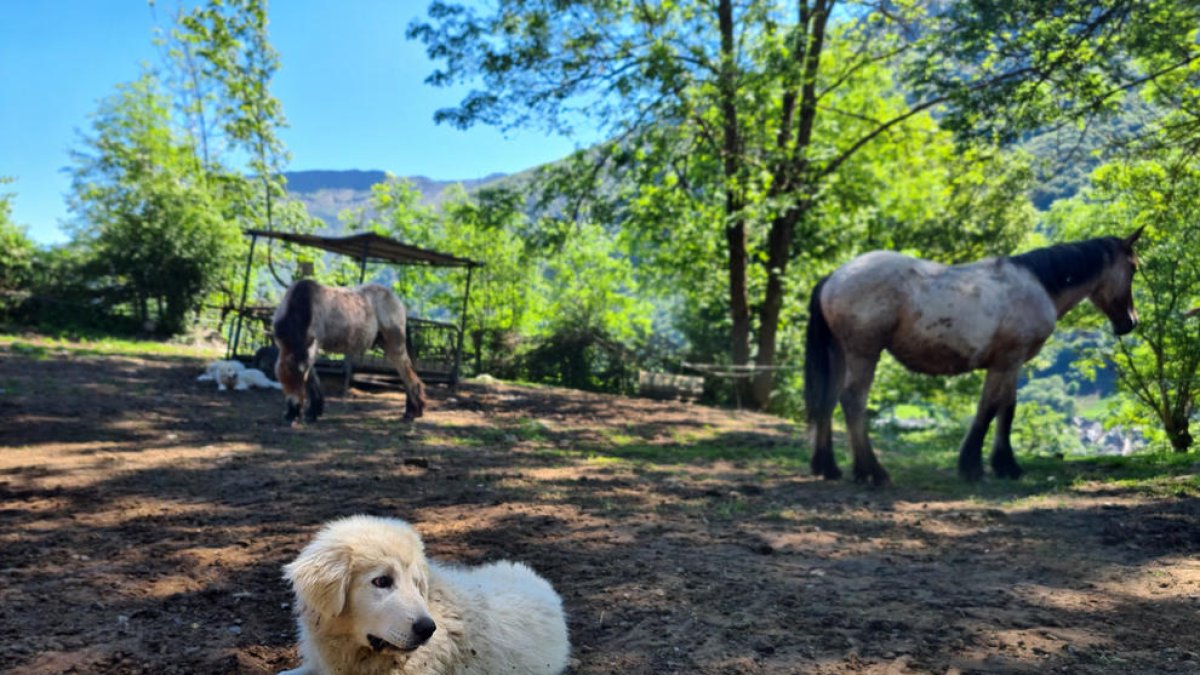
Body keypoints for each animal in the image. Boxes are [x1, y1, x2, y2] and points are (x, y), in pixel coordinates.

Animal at [272, 278, 427, 420]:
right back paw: (412, 410)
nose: (294, 409)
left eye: (300, 376)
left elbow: (310, 378)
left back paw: (413, 412)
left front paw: (310, 413)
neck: (302, 306)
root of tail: (398, 303)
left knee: (407, 375)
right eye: (281, 378)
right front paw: (312, 411)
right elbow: (313, 378)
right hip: (386, 344)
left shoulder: (311, 347)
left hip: (395, 345)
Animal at [806, 230, 1142, 482]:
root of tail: (834, 277)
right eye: (1134, 267)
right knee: (852, 402)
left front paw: (1005, 465)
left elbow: (1007, 409)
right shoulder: (1007, 361)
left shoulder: (1011, 365)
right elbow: (989, 409)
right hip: (863, 354)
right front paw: (973, 466)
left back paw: (828, 468)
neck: (1038, 285)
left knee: (827, 401)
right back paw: (871, 472)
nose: (1130, 322)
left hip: (840, 354)